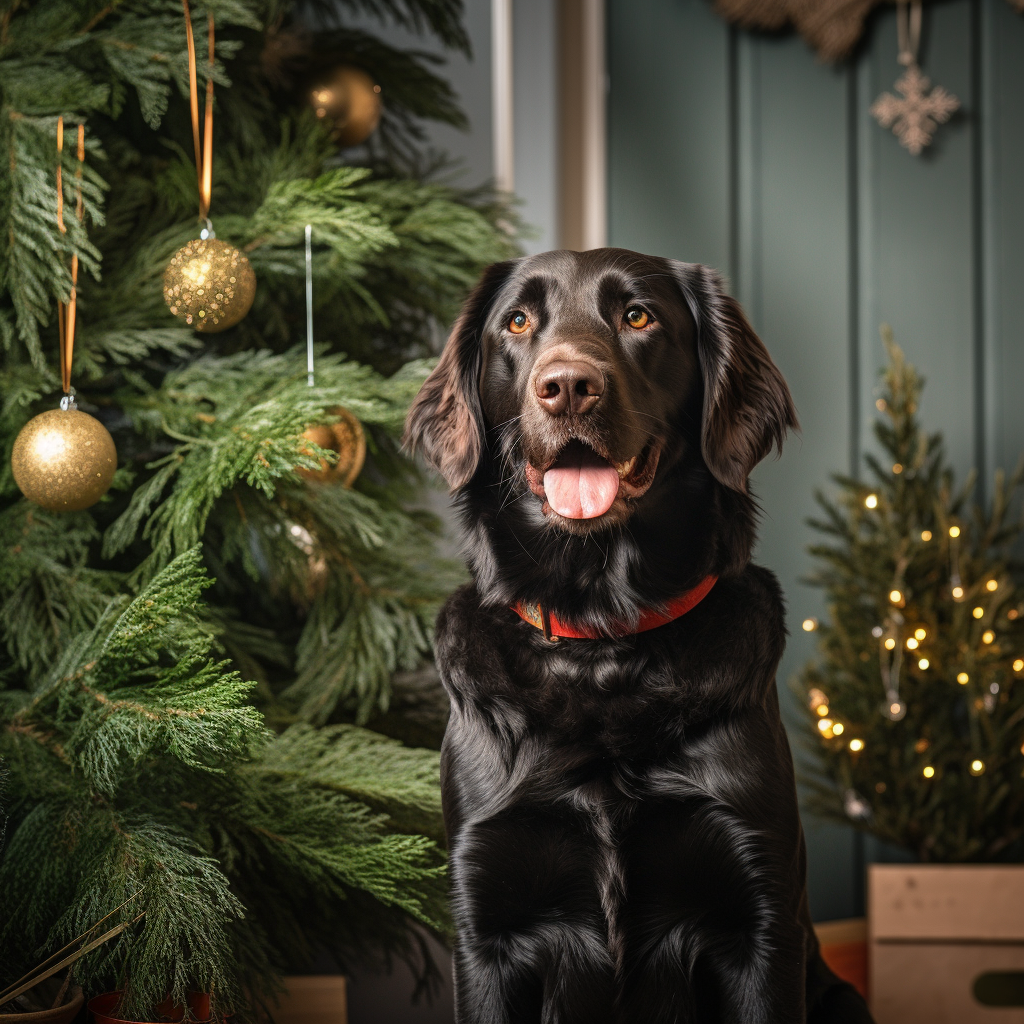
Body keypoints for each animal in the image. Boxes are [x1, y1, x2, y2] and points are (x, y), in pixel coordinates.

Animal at [403, 249, 876, 1024]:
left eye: (637, 316)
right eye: (518, 321)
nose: (568, 389)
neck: (602, 646)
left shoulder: (758, 921)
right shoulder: (485, 926)